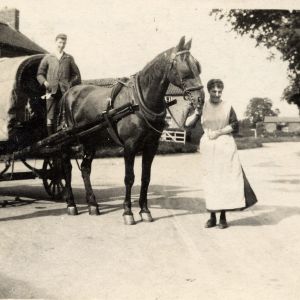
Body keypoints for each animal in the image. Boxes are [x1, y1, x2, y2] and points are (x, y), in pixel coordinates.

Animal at [59, 35, 204, 224]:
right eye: (185, 68)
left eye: (198, 66)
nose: (200, 99)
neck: (138, 103)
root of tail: (68, 93)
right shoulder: (129, 146)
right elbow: (129, 178)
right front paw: (128, 212)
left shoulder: (151, 146)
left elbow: (145, 178)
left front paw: (145, 210)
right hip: (69, 141)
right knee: (66, 168)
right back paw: (71, 204)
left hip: (90, 142)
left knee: (85, 169)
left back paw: (93, 205)